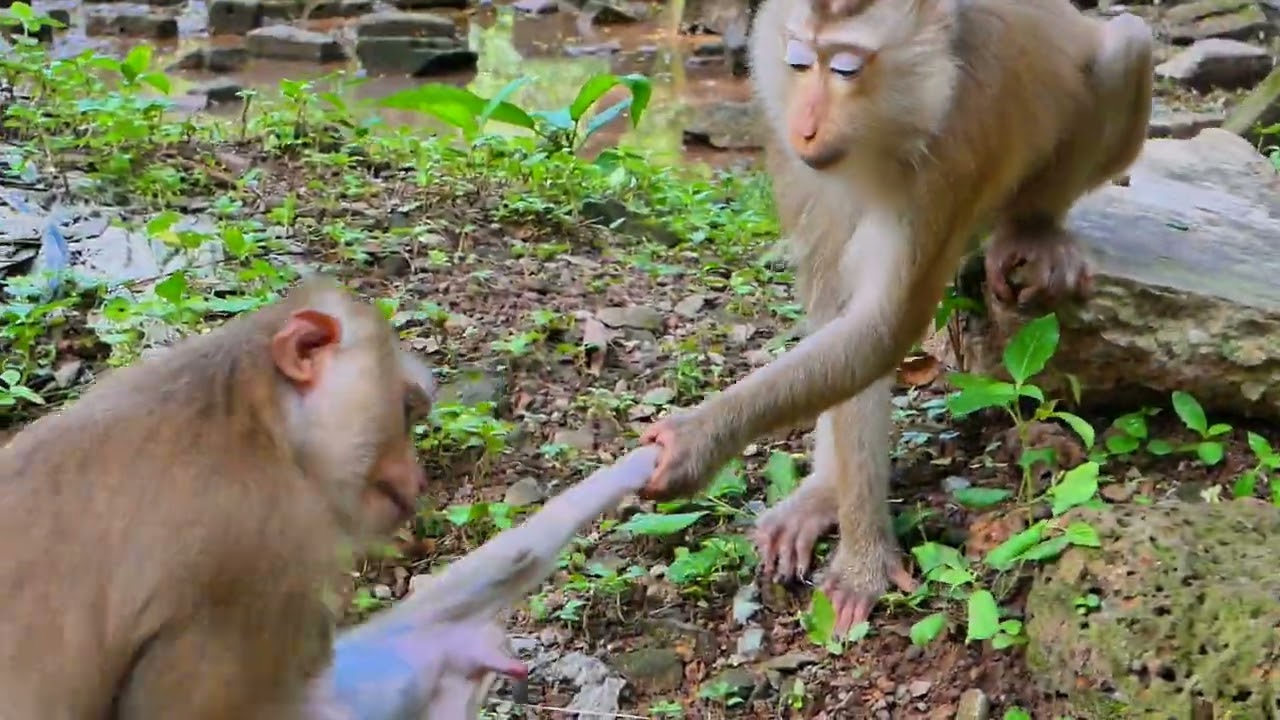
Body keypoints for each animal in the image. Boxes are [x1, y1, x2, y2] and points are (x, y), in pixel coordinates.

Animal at [639, 0, 1153, 635]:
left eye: (846, 70)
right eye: (798, 62)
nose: (806, 123)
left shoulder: (950, 150)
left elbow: (882, 328)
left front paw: (699, 440)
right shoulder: (790, 149)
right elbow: (840, 320)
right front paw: (835, 508)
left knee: (1126, 45)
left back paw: (1033, 229)